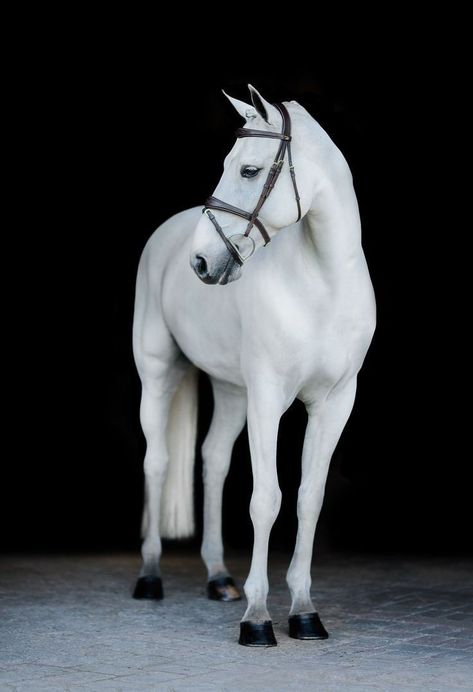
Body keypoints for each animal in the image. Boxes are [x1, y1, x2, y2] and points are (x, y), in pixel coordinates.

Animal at [131, 88, 374, 648]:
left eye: (248, 169)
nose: (201, 262)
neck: (322, 285)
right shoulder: (268, 397)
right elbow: (266, 499)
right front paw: (258, 619)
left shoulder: (335, 403)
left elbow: (309, 498)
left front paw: (304, 613)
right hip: (158, 375)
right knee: (157, 462)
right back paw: (150, 577)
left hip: (230, 391)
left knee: (214, 460)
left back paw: (219, 578)